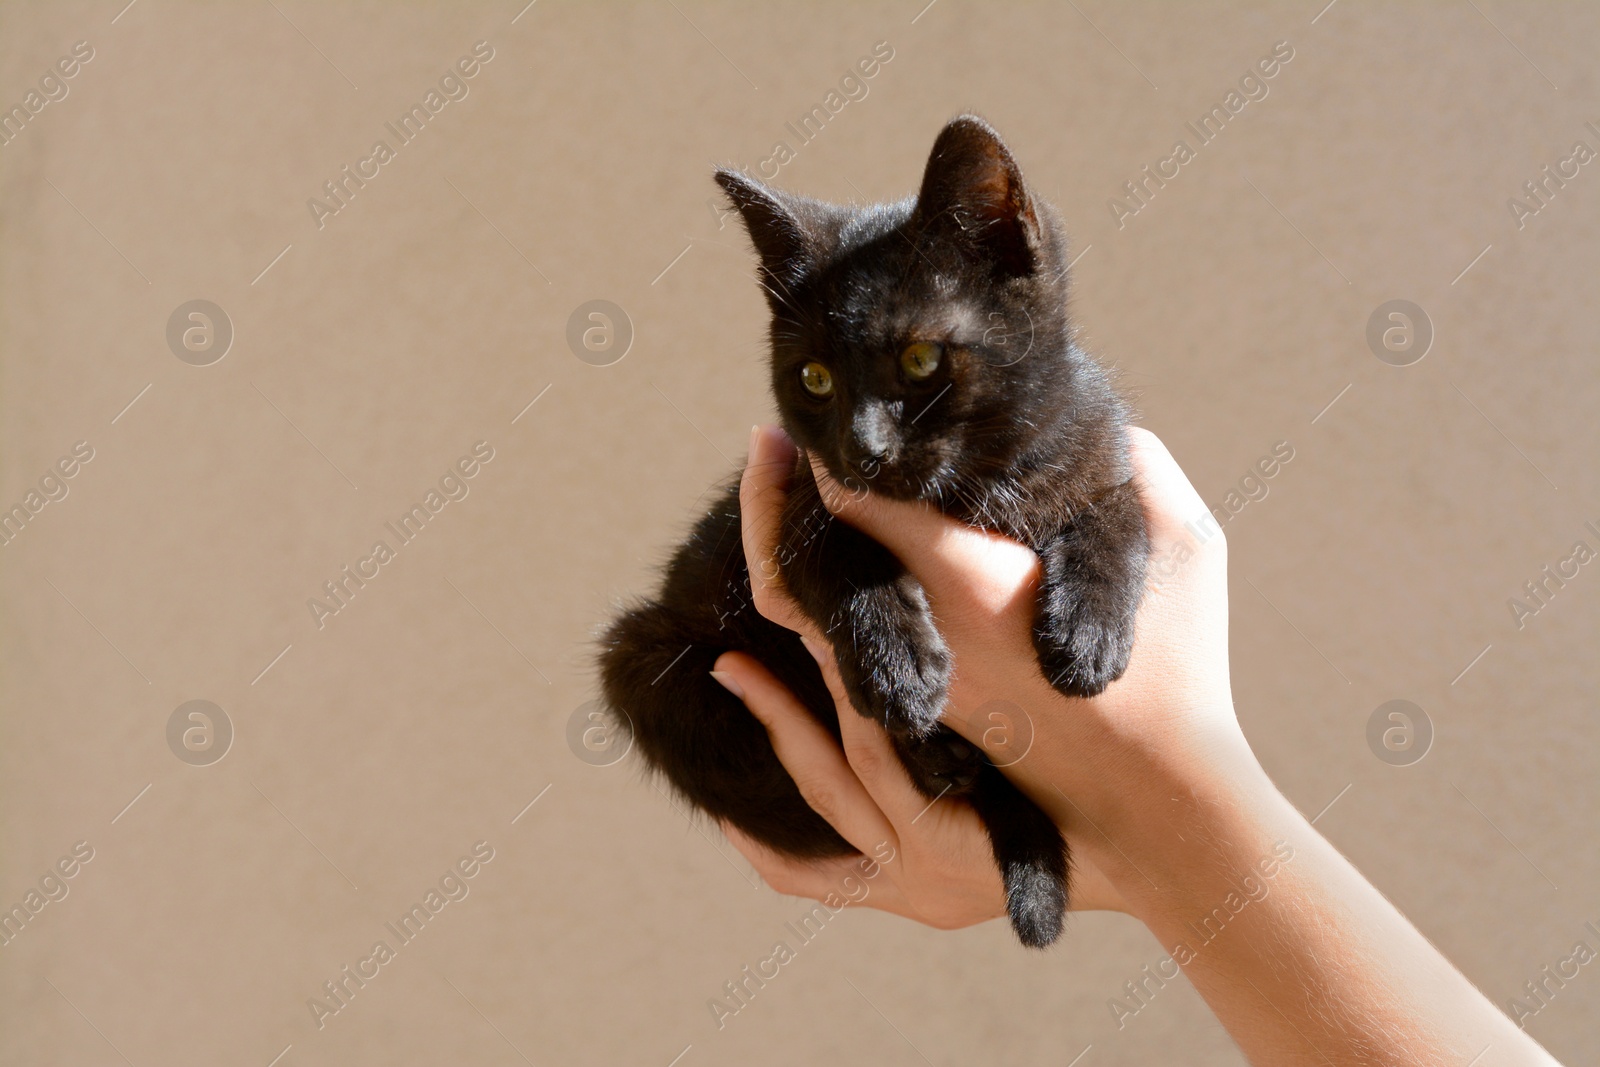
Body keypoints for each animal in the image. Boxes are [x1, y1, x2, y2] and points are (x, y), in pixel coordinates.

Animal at [601, 115, 1152, 953]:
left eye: (920, 358)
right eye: (814, 379)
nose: (863, 450)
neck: (977, 492)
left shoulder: (1106, 453)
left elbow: (1118, 521)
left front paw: (1087, 633)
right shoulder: (796, 507)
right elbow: (843, 555)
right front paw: (898, 669)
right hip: (637, 655)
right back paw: (938, 755)